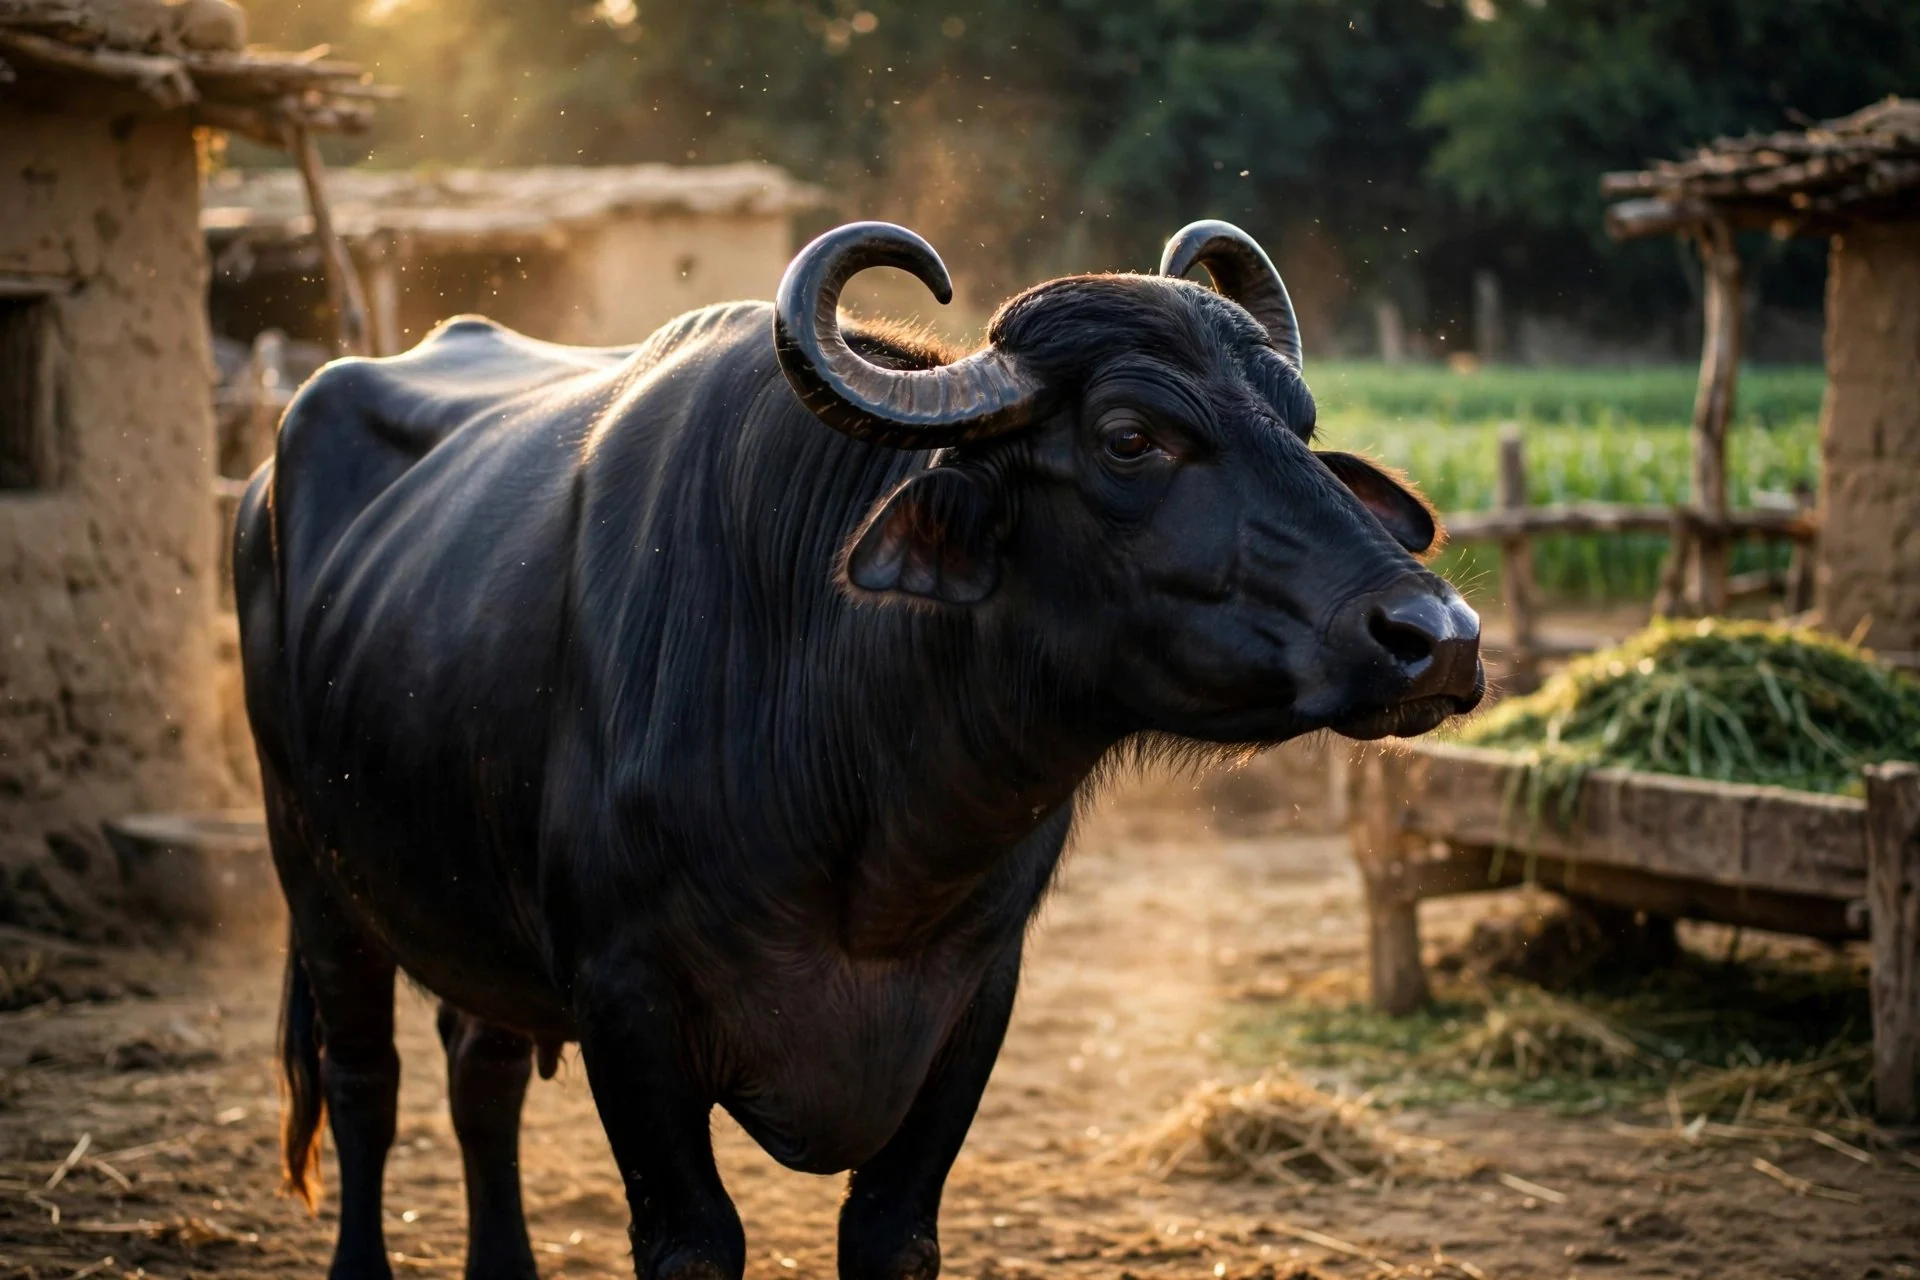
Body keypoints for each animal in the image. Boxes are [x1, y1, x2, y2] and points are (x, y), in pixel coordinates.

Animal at [234, 219, 1482, 1280]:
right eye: (1131, 437)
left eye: (1303, 428)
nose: (1440, 636)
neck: (864, 825)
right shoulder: (625, 1003)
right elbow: (694, 1242)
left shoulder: (972, 1000)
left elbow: (890, 1234)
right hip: (311, 869)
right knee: (366, 1082)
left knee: (479, 1076)